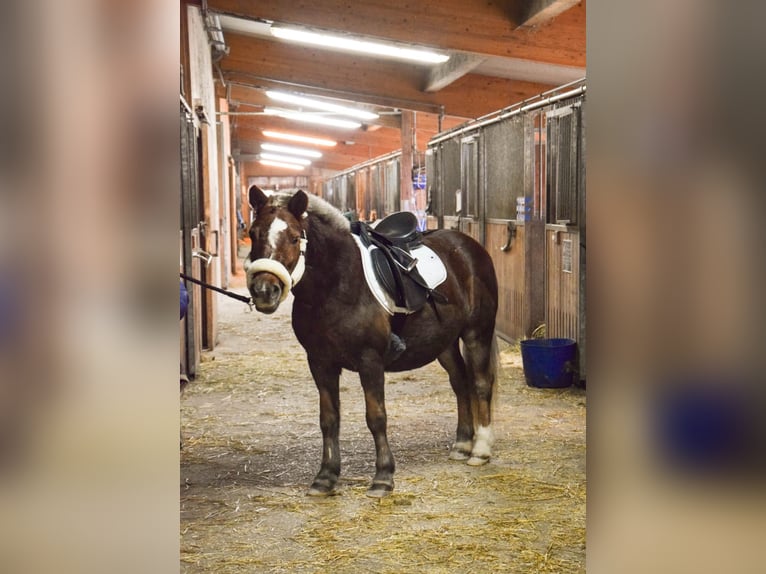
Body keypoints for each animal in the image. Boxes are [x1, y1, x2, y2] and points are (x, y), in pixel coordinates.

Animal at [243, 187, 500, 498]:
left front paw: (383, 477)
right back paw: (462, 444)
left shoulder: (370, 361)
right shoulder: (320, 363)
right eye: (253, 233)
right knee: (460, 384)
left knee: (481, 384)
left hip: (477, 332)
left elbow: (376, 417)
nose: (264, 291)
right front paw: (325, 477)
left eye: (294, 237)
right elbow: (329, 419)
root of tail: (470, 248)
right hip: (445, 343)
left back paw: (481, 450)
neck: (337, 283)